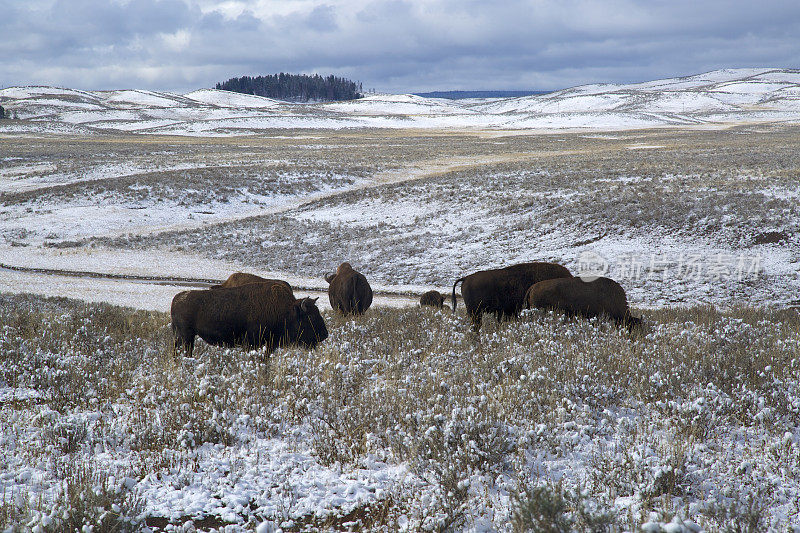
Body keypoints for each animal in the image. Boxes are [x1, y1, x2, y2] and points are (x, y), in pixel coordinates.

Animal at [172, 282, 328, 358]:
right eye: (310, 317)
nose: (324, 335)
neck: (286, 310)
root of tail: (177, 298)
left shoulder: (270, 345)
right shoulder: (251, 342)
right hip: (187, 336)